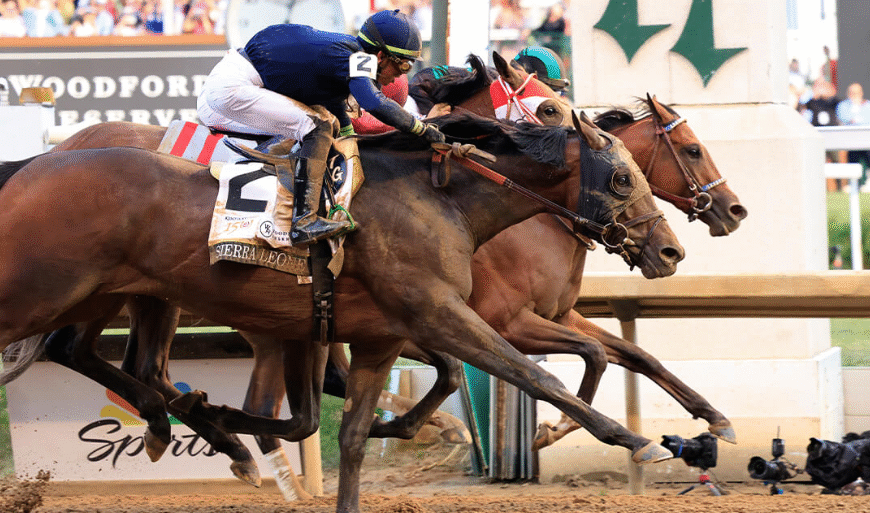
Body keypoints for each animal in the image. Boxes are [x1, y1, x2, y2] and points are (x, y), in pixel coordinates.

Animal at [34, 54, 741, 486]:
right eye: (691, 149)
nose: (732, 211)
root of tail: (55, 152)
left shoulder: (546, 312)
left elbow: (627, 353)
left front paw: (711, 421)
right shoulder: (495, 319)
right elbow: (559, 363)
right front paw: (551, 430)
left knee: (125, 363)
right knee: (94, 355)